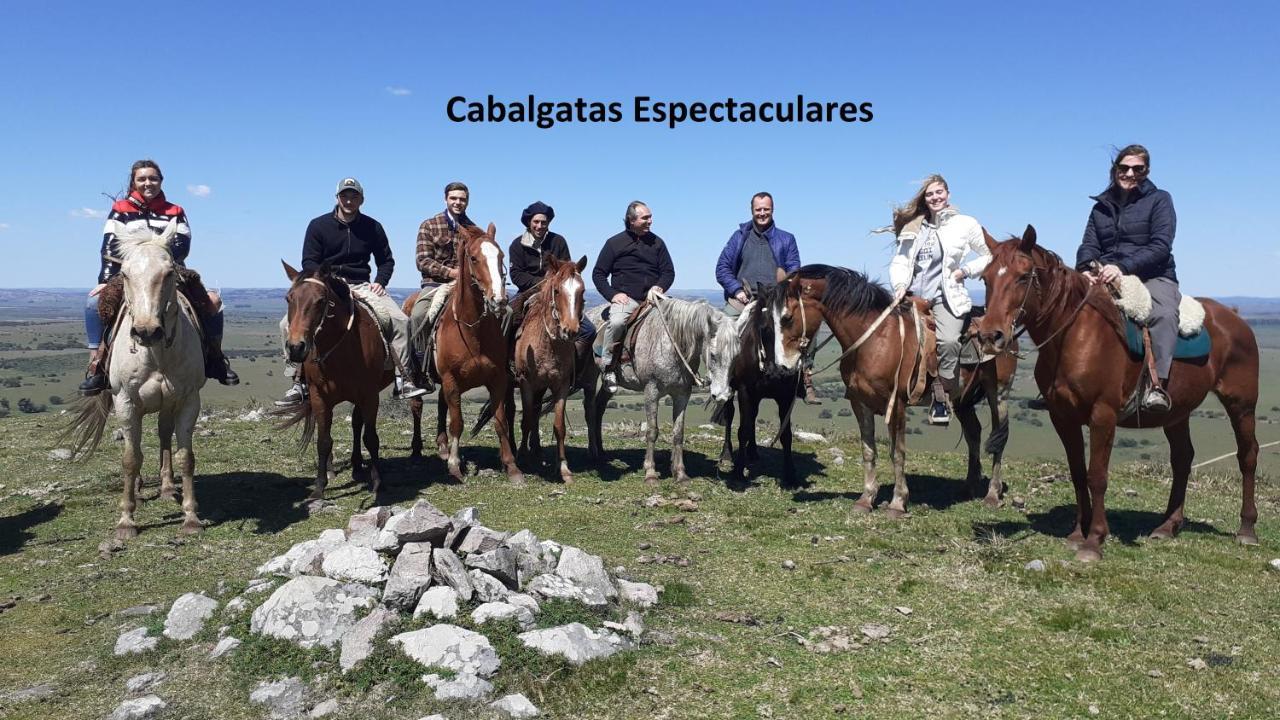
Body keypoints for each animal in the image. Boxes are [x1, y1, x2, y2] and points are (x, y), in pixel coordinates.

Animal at [67, 221, 206, 535]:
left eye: (169, 273)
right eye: (127, 274)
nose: (146, 331)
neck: (155, 355)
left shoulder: (188, 400)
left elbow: (186, 457)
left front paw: (190, 515)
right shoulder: (126, 401)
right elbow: (130, 458)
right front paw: (126, 520)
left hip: (167, 403)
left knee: (164, 435)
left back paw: (166, 487)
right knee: (139, 444)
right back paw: (141, 490)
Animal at [281, 258, 391, 499]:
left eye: (321, 300)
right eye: (288, 298)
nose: (296, 347)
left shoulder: (370, 395)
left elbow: (371, 437)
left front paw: (378, 482)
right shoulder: (319, 397)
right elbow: (324, 441)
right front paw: (319, 487)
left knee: (358, 424)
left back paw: (359, 465)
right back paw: (340, 468)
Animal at [967, 225, 1259, 561]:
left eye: (1024, 276)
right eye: (986, 278)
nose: (990, 336)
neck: (1076, 336)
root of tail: (1234, 317)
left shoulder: (1102, 416)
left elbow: (1097, 475)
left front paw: (1094, 540)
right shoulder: (1062, 417)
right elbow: (1078, 472)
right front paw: (1076, 533)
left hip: (1241, 404)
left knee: (1247, 455)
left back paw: (1247, 530)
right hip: (1177, 413)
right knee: (1182, 458)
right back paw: (1167, 527)